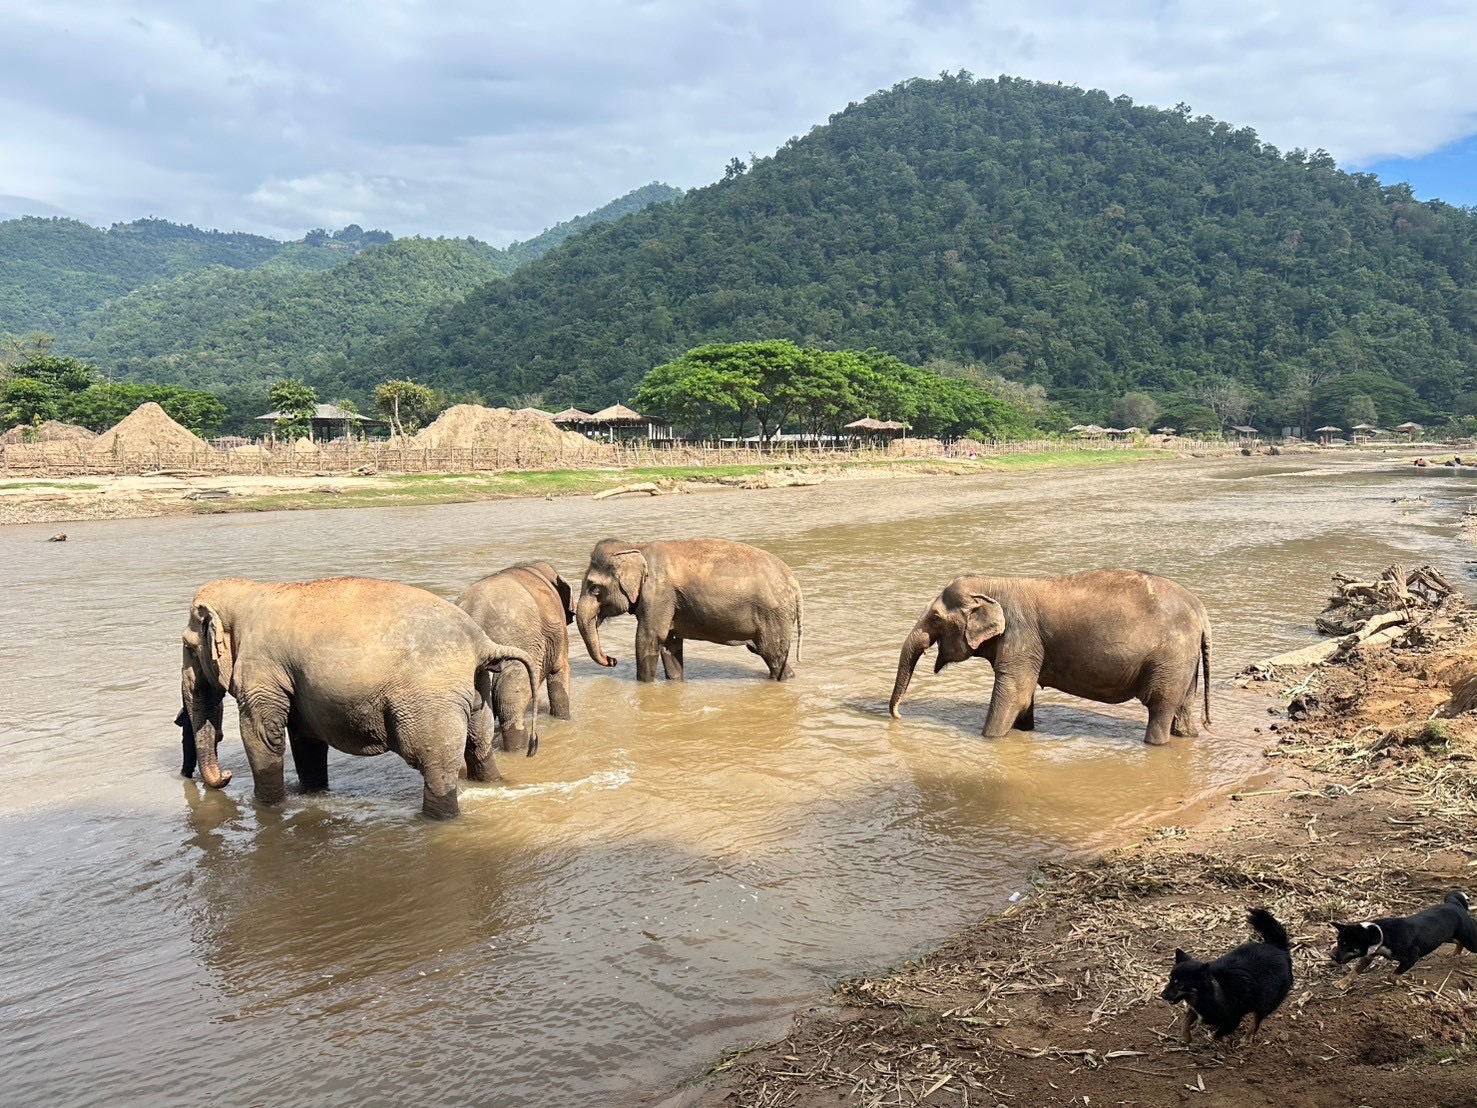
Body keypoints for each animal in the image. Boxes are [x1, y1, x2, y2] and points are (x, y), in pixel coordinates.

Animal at [180, 576, 539, 819]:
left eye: (187, 646)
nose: (226, 776)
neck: (250, 591)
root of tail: (481, 642)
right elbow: (305, 739)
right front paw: (310, 794)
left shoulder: (261, 670)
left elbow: (263, 734)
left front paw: (268, 807)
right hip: (474, 689)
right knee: (477, 745)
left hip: (430, 701)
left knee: (435, 762)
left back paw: (439, 819)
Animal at [576, 538, 803, 682]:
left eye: (594, 588)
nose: (612, 660)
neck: (636, 546)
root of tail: (794, 583)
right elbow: (670, 643)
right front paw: (675, 681)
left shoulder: (659, 594)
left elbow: (648, 639)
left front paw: (645, 685)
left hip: (774, 615)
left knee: (772, 654)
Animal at [889, 569, 1211, 745]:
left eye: (935, 618)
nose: (898, 715)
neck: (995, 583)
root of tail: (1201, 613)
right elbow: (1023, 696)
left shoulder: (1021, 635)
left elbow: (1014, 693)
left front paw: (989, 740)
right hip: (1184, 662)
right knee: (1183, 707)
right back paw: (1188, 736)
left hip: (1170, 658)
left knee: (1160, 706)